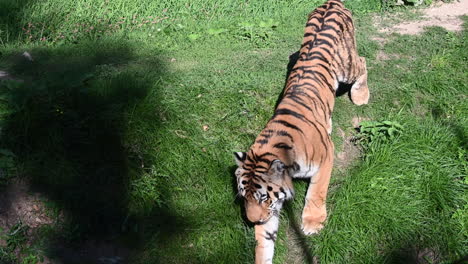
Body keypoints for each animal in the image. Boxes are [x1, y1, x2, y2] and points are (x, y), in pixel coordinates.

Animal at [234, 1, 370, 262]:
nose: (252, 220)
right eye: (244, 197)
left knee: (363, 61)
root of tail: (331, 3)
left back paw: (361, 95)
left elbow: (316, 192)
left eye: (262, 197)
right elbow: (264, 241)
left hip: (346, 65)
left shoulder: (326, 157)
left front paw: (313, 223)